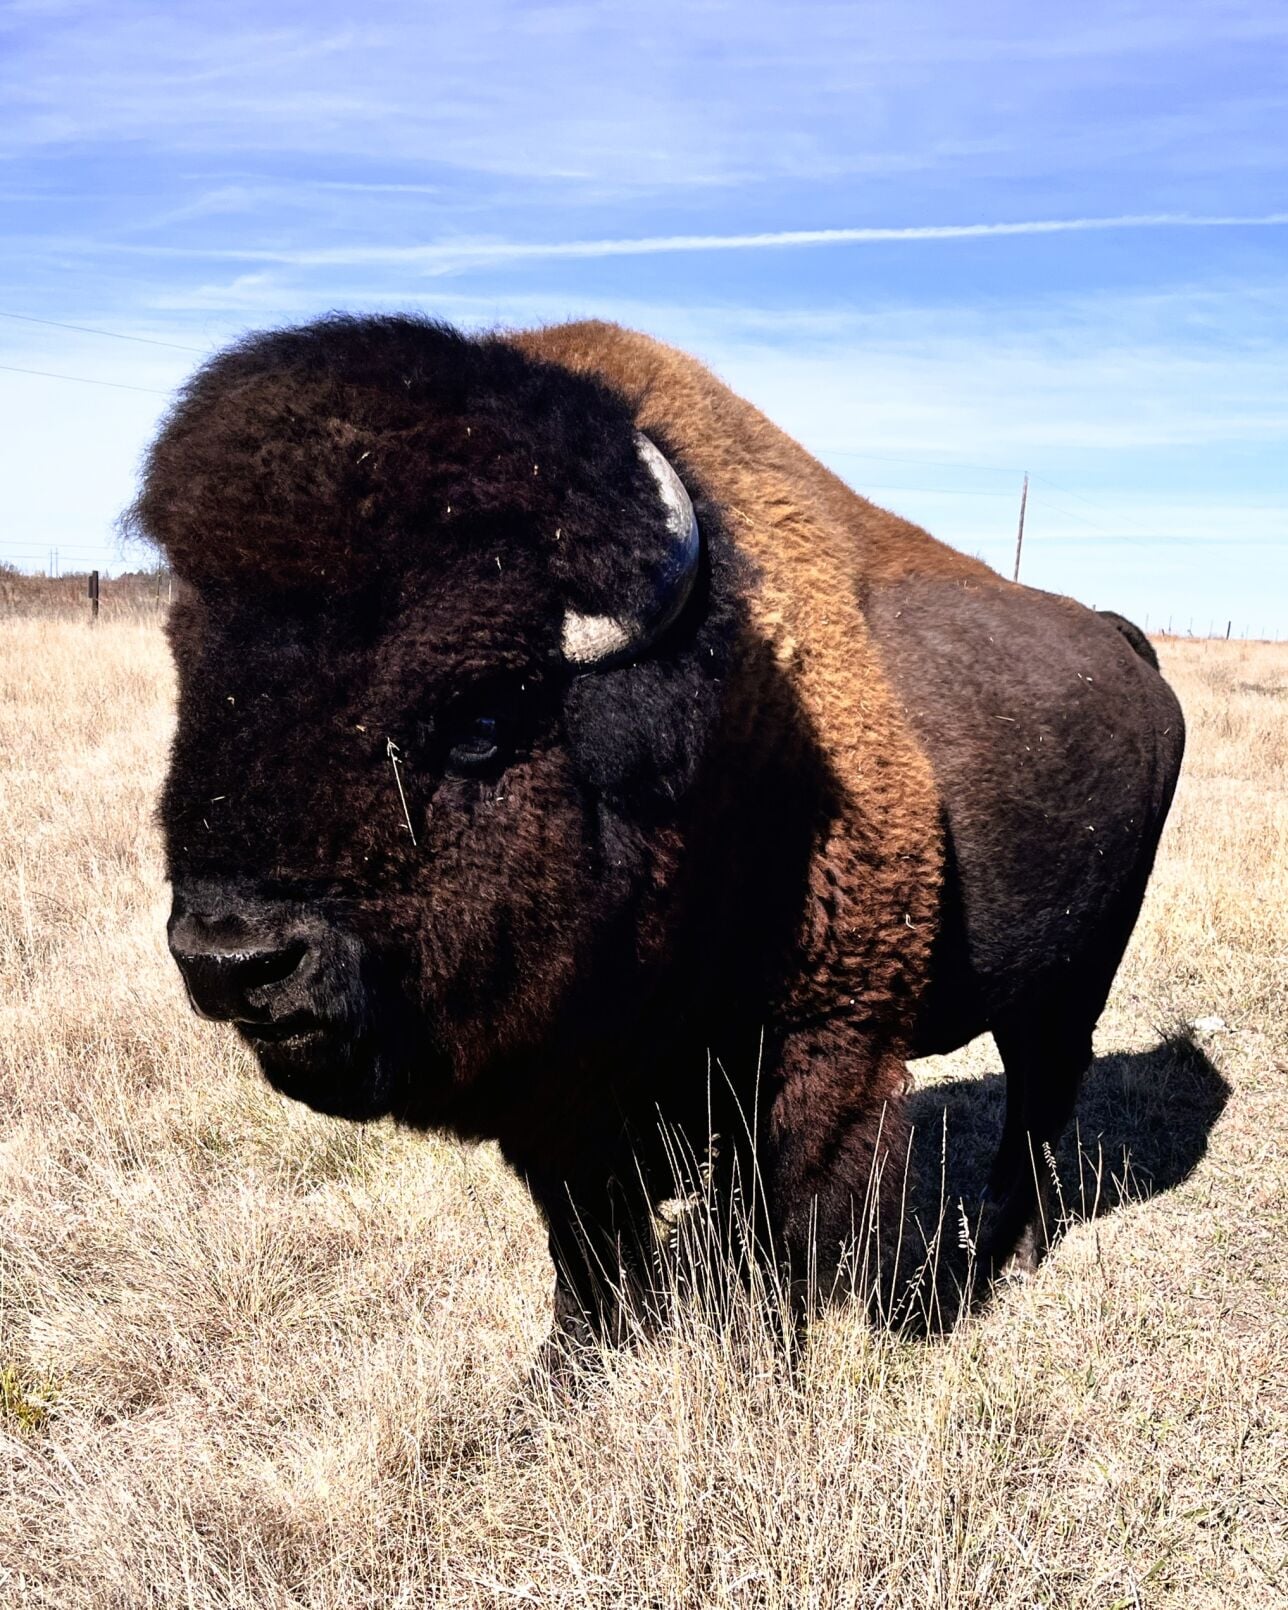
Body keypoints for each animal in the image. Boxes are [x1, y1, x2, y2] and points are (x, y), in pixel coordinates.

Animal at [130, 315, 1184, 1356]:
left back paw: (996, 1257)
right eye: (198, 680)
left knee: (1039, 1100)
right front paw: (569, 1367)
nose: (232, 958)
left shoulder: (817, 1054)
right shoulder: (566, 1092)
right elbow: (587, 1242)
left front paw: (756, 1353)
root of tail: (1127, 648)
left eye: (480, 717)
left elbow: (776, 1229)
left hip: (1074, 979)